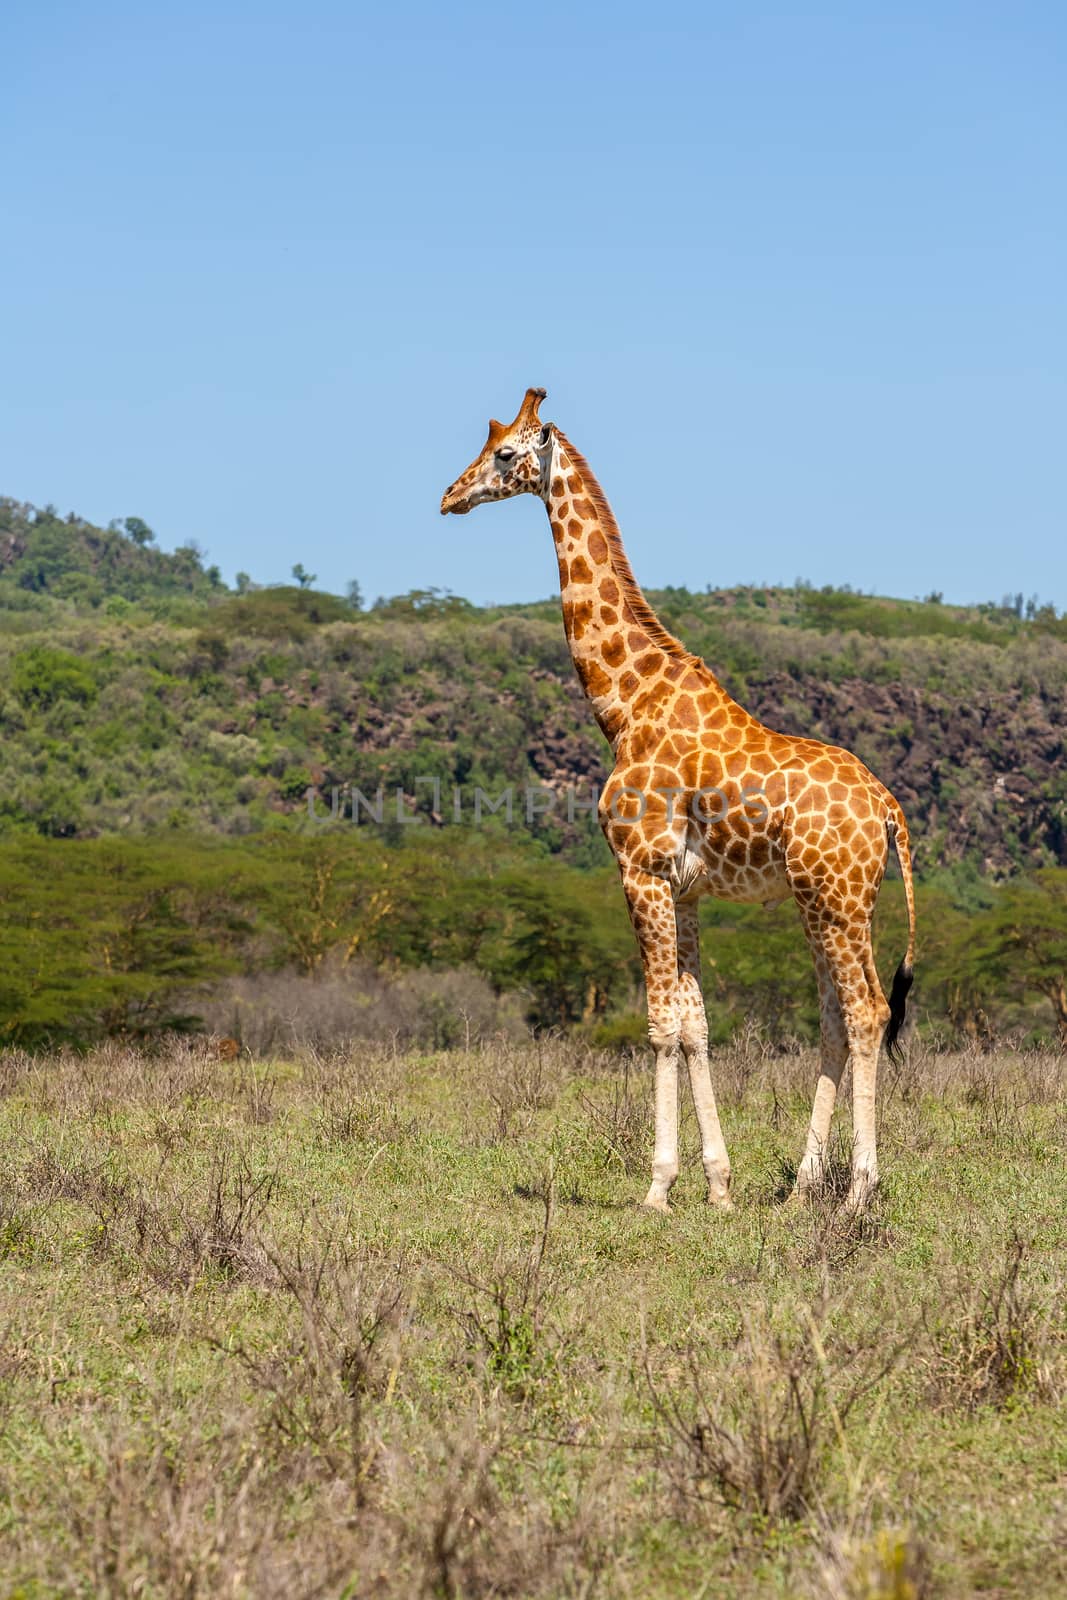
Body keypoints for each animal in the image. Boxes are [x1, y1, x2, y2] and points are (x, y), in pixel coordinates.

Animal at [441, 390, 921, 1209]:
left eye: (504, 454)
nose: (448, 496)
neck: (622, 705)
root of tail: (887, 810)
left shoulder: (637, 868)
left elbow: (661, 1023)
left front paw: (658, 1186)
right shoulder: (686, 886)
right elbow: (696, 1023)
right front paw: (720, 1186)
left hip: (837, 896)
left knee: (867, 1012)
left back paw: (858, 1191)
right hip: (822, 901)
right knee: (835, 1016)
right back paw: (800, 1187)